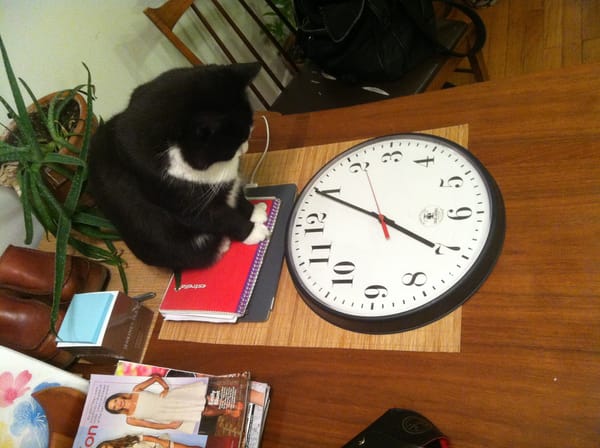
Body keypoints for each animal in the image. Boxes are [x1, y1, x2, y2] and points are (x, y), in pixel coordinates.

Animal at [87, 62, 270, 270]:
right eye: (231, 146)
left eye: (249, 132)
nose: (245, 149)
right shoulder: (188, 206)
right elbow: (225, 218)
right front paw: (253, 232)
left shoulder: (228, 182)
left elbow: (237, 195)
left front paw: (255, 212)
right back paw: (222, 245)